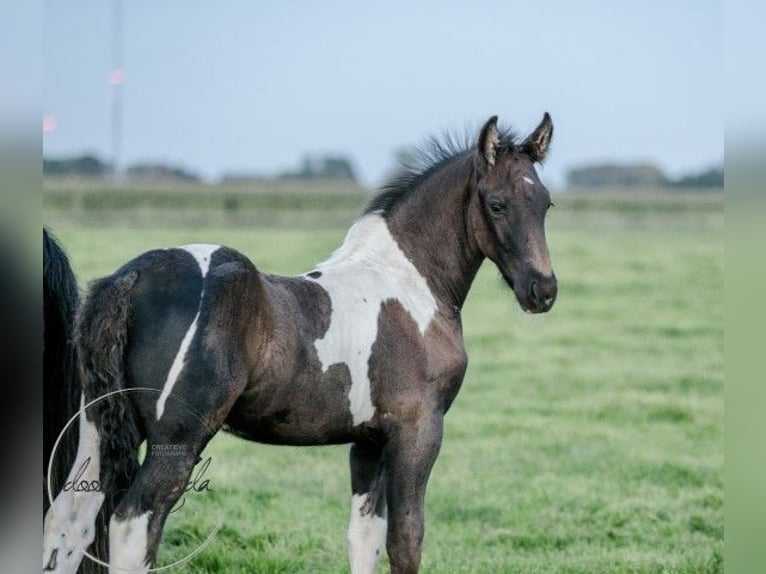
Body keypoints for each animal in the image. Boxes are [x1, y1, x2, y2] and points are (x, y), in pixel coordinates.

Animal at [43, 113, 560, 574]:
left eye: (546, 204)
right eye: (496, 204)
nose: (543, 290)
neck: (408, 282)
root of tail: (130, 277)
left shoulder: (368, 441)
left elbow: (365, 538)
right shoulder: (418, 430)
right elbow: (406, 540)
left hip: (95, 428)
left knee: (69, 523)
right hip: (179, 438)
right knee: (132, 525)